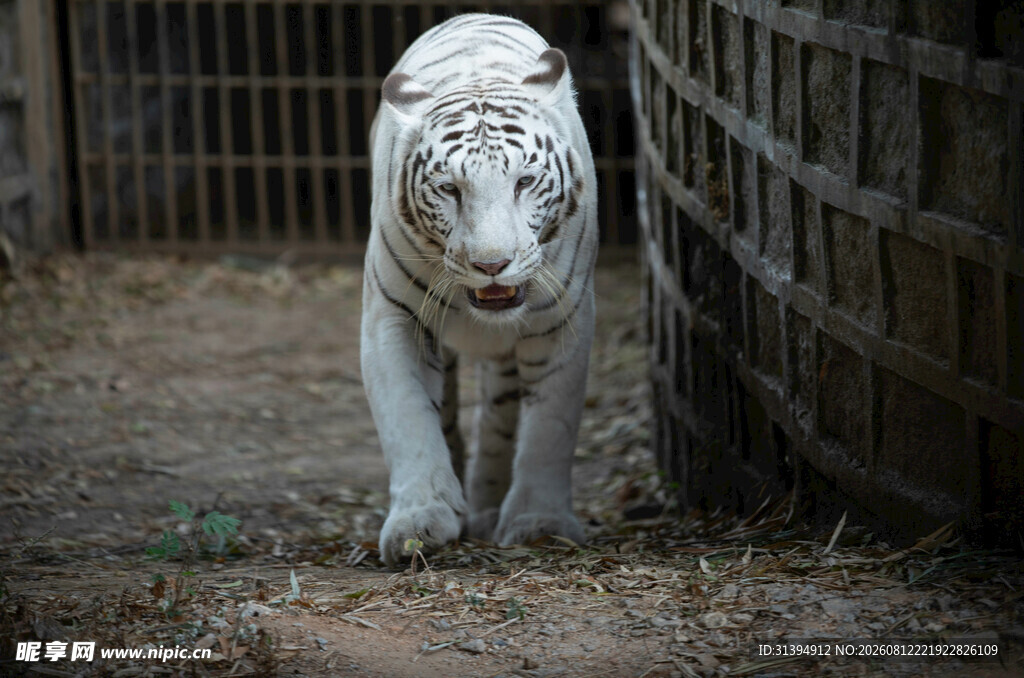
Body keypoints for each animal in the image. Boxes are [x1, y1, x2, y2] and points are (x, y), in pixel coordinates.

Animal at [360, 13, 598, 567]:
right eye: (449, 188)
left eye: (524, 182)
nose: (491, 265)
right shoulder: (392, 317)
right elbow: (408, 418)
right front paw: (419, 520)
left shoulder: (563, 319)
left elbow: (549, 428)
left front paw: (540, 523)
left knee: (501, 421)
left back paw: (490, 506)